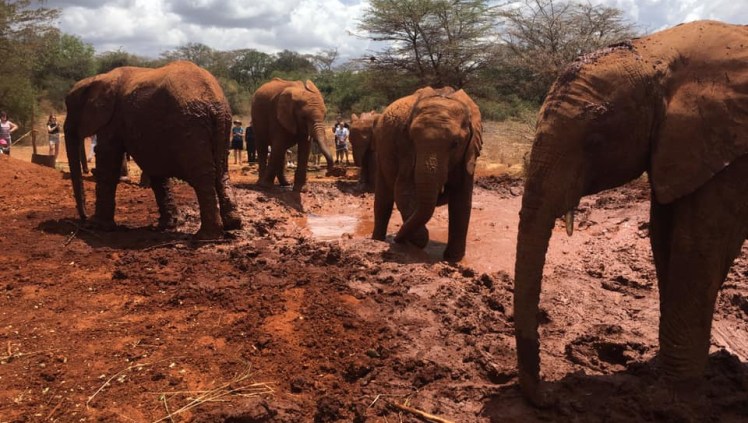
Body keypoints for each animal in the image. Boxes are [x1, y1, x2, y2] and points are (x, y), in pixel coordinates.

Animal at [64, 60, 242, 240]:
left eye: (69, 107)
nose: (84, 218)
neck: (99, 78)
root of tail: (213, 98)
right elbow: (156, 168)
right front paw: (167, 225)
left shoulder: (112, 120)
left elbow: (107, 160)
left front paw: (98, 226)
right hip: (222, 123)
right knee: (222, 172)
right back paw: (233, 224)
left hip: (190, 125)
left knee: (203, 176)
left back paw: (206, 236)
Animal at [372, 87, 482, 262]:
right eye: (412, 139)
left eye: (455, 144)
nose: (396, 239)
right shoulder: (405, 149)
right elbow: (403, 191)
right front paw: (418, 240)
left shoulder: (468, 155)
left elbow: (462, 200)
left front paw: (453, 259)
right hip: (381, 149)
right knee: (383, 200)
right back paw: (377, 241)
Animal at [513, 20, 748, 404]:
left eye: (594, 141)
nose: (547, 398)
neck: (659, 54)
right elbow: (663, 234)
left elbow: (699, 245)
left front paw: (672, 394)